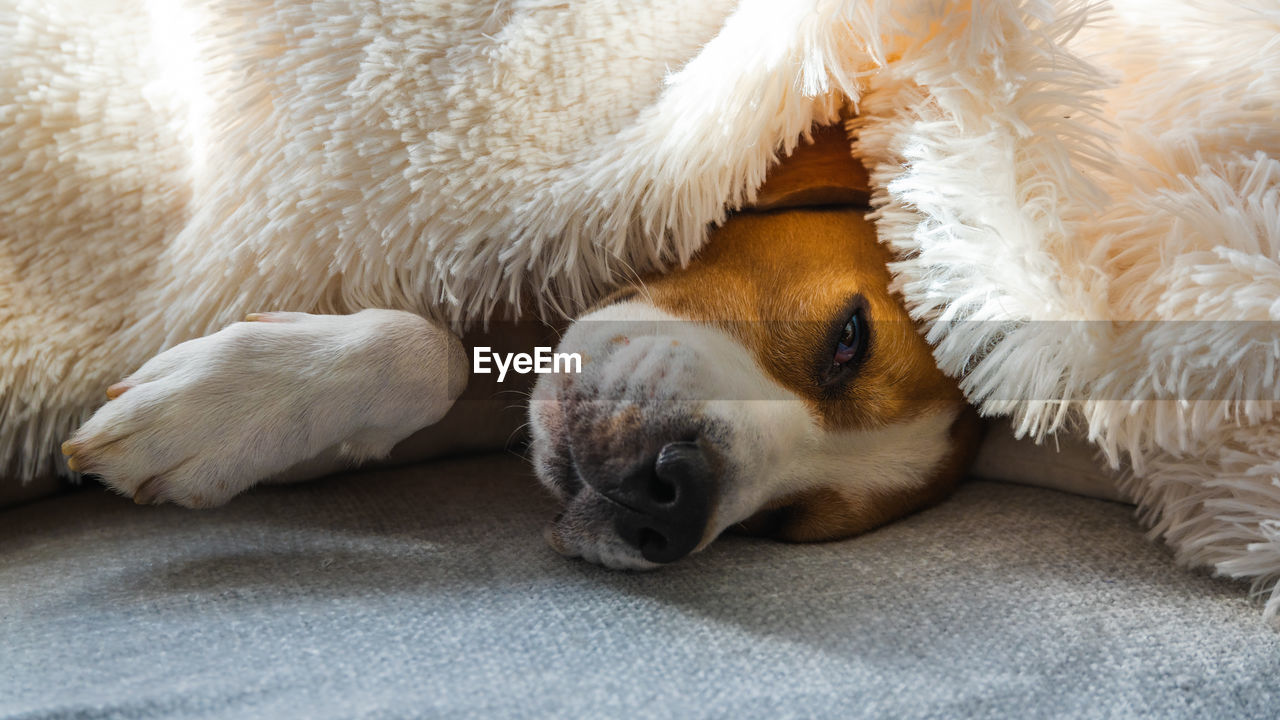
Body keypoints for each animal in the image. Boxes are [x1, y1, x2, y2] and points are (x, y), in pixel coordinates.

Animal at [60, 126, 977, 568]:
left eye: (780, 527)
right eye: (848, 338)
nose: (676, 501)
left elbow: (438, 357)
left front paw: (233, 426)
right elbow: (432, 346)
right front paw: (219, 402)